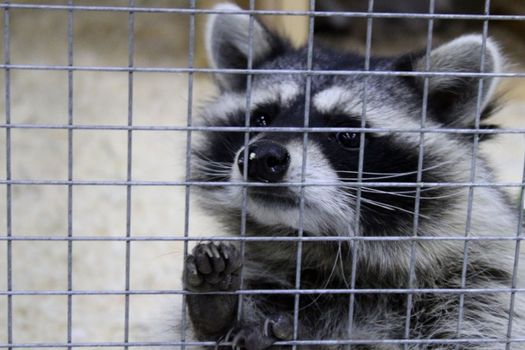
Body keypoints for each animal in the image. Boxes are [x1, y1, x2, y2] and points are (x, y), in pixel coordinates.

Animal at [182, 3, 520, 350]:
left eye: (347, 135)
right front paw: (217, 316)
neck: (327, 249)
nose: (261, 158)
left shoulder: (479, 290)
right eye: (262, 118)